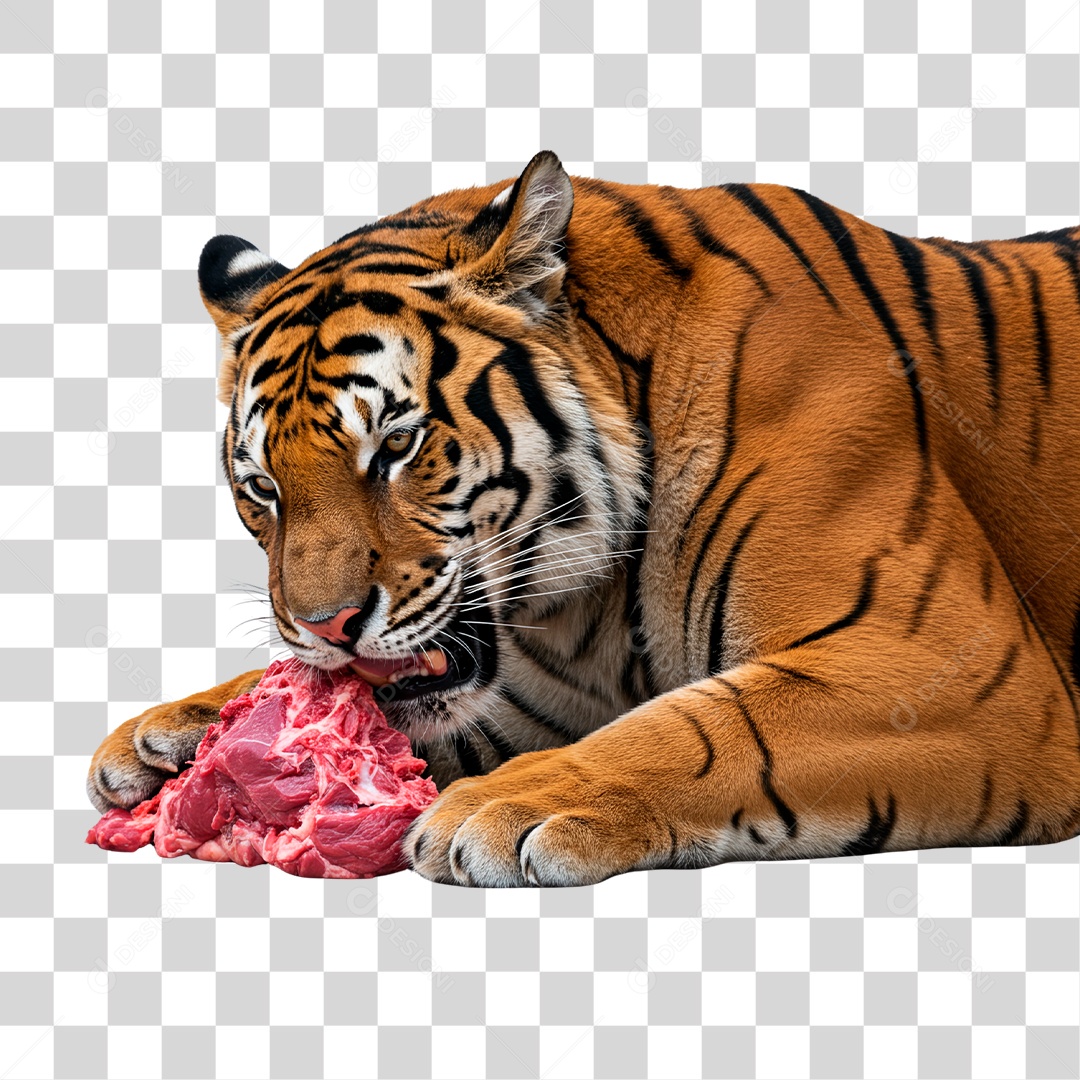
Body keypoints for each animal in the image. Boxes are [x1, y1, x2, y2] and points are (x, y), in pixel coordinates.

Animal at [88, 150, 1080, 887]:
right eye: (262, 488)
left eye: (397, 446)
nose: (325, 628)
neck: (592, 606)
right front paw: (173, 734)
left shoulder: (954, 666)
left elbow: (710, 726)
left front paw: (503, 805)